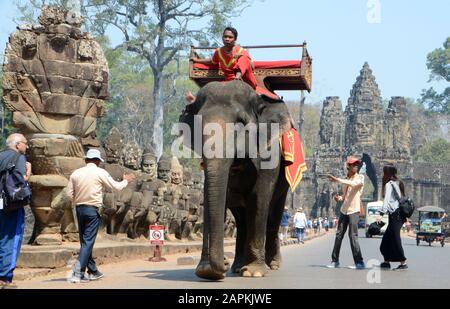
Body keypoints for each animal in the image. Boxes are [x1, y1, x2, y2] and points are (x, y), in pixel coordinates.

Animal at [178, 79, 294, 280]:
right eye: (199, 125)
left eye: (241, 124)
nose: (223, 263)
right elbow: (210, 196)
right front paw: (206, 271)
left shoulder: (269, 154)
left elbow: (259, 198)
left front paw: (254, 273)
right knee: (241, 220)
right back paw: (238, 267)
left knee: (274, 215)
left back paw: (272, 265)